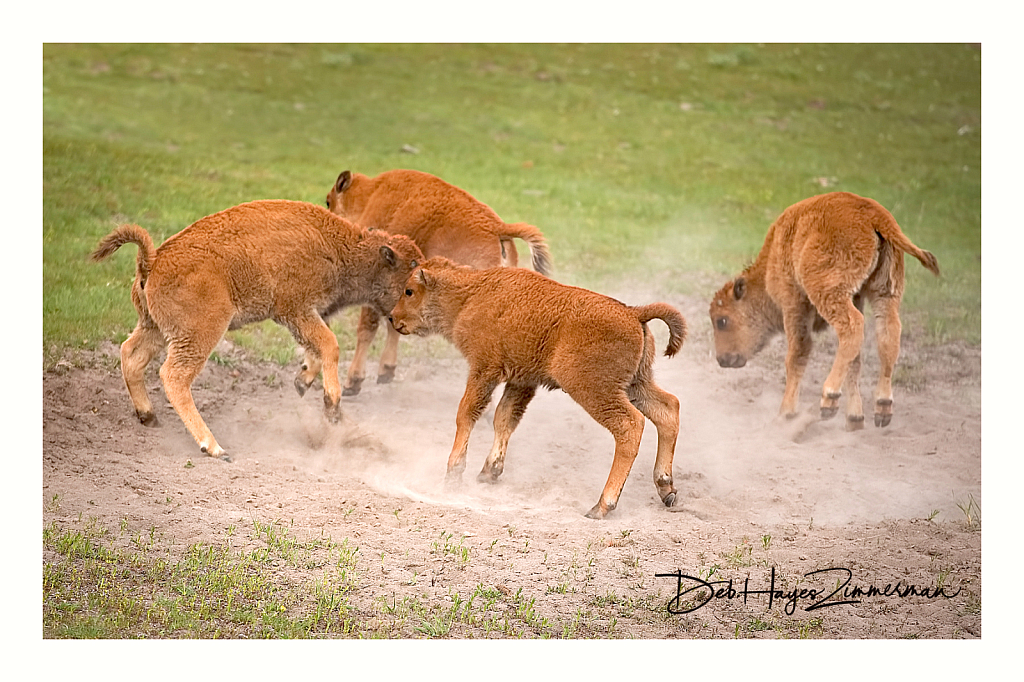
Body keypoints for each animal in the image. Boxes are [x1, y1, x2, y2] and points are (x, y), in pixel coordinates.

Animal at [90, 199, 421, 458]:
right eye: (411, 274)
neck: (342, 247)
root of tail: (153, 260)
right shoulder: (294, 309)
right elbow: (330, 344)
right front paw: (332, 406)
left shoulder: (307, 314)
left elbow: (317, 348)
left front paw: (302, 381)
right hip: (200, 333)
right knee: (174, 376)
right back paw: (214, 447)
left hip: (155, 328)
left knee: (131, 354)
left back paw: (148, 416)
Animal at [325, 166, 552, 395]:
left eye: (328, 202)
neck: (370, 195)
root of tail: (498, 227)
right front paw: (386, 371)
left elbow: (367, 327)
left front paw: (353, 382)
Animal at [389, 258, 688, 518]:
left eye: (409, 291)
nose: (393, 318)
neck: (471, 294)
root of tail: (633, 312)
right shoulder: (521, 380)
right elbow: (504, 419)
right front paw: (489, 472)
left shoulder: (484, 369)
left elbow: (467, 414)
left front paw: (453, 474)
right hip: (636, 384)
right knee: (668, 408)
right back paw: (666, 489)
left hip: (595, 390)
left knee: (630, 426)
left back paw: (601, 506)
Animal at [708, 189, 937, 425]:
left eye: (722, 320)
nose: (722, 359)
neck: (773, 256)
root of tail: (874, 215)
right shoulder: (857, 297)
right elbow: (854, 362)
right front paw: (855, 417)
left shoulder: (794, 305)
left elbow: (797, 355)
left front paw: (786, 412)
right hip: (884, 292)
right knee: (887, 336)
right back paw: (882, 406)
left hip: (829, 293)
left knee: (853, 327)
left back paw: (829, 399)